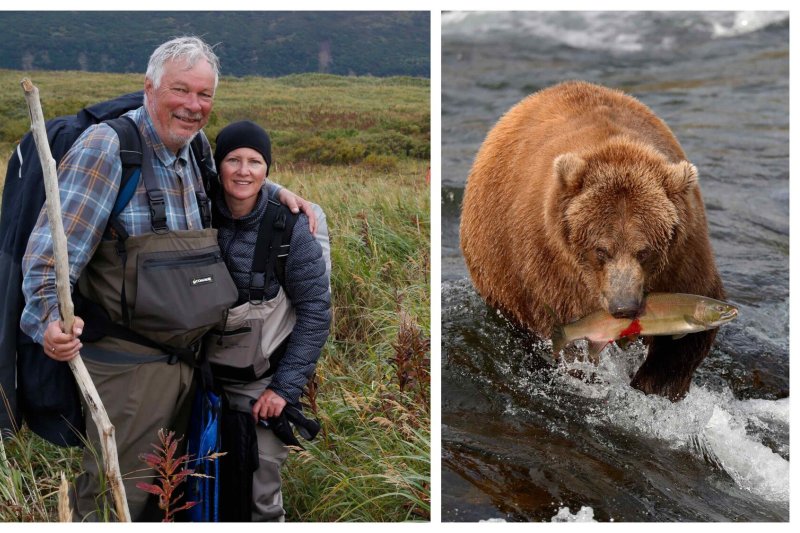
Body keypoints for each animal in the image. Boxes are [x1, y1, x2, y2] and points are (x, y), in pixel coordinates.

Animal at [456, 81, 724, 402]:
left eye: (644, 251)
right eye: (601, 250)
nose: (624, 307)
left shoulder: (683, 255)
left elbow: (686, 340)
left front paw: (655, 386)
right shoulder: (550, 264)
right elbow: (573, 336)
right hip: (503, 273)